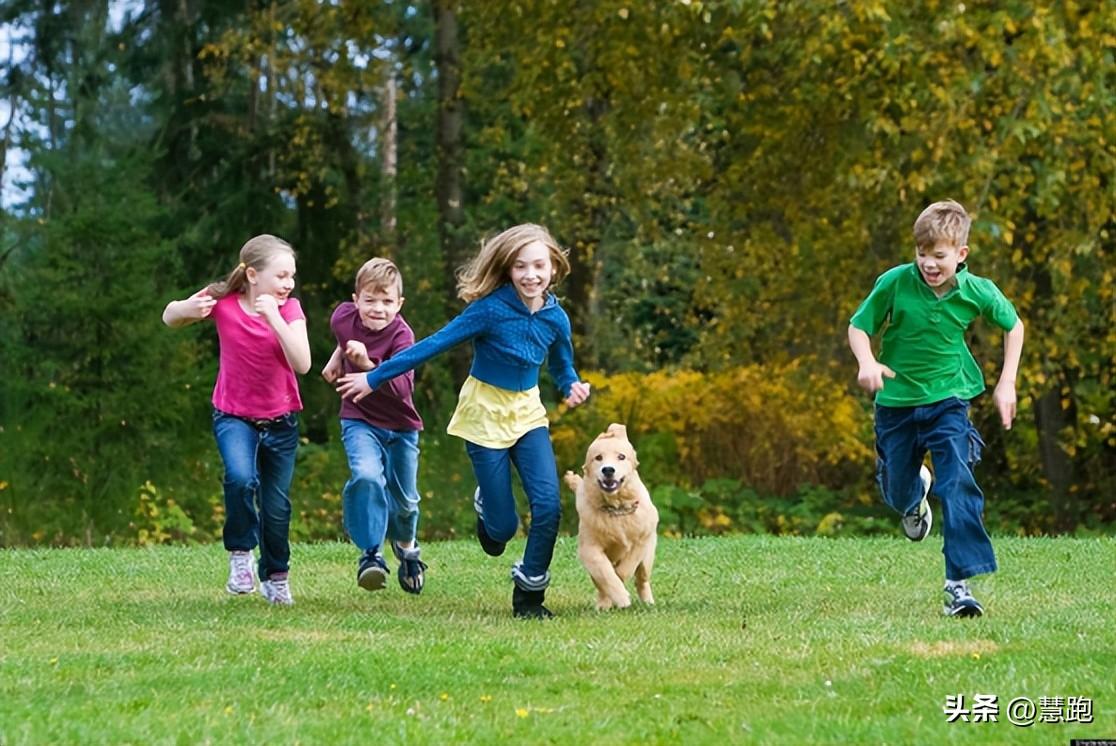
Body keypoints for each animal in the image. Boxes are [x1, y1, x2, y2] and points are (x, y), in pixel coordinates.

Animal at [562, 422, 656, 607]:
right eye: (598, 457)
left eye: (621, 457)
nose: (608, 470)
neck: (616, 506)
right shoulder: (589, 549)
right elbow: (605, 574)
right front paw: (620, 598)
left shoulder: (641, 540)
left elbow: (625, 568)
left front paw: (621, 587)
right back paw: (604, 603)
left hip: (648, 556)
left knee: (641, 578)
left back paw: (648, 602)